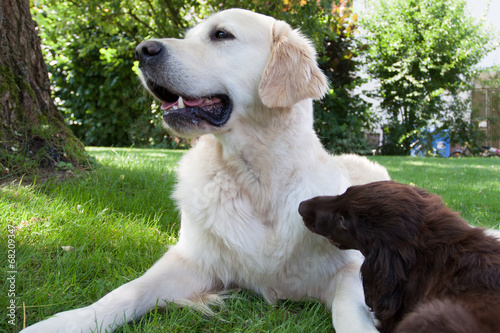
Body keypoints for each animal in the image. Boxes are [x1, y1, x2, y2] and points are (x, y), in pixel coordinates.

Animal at [22, 9, 390, 330]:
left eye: (221, 34)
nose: (142, 50)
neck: (258, 179)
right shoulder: (191, 260)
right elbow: (127, 291)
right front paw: (65, 323)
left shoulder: (349, 267)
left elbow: (348, 309)